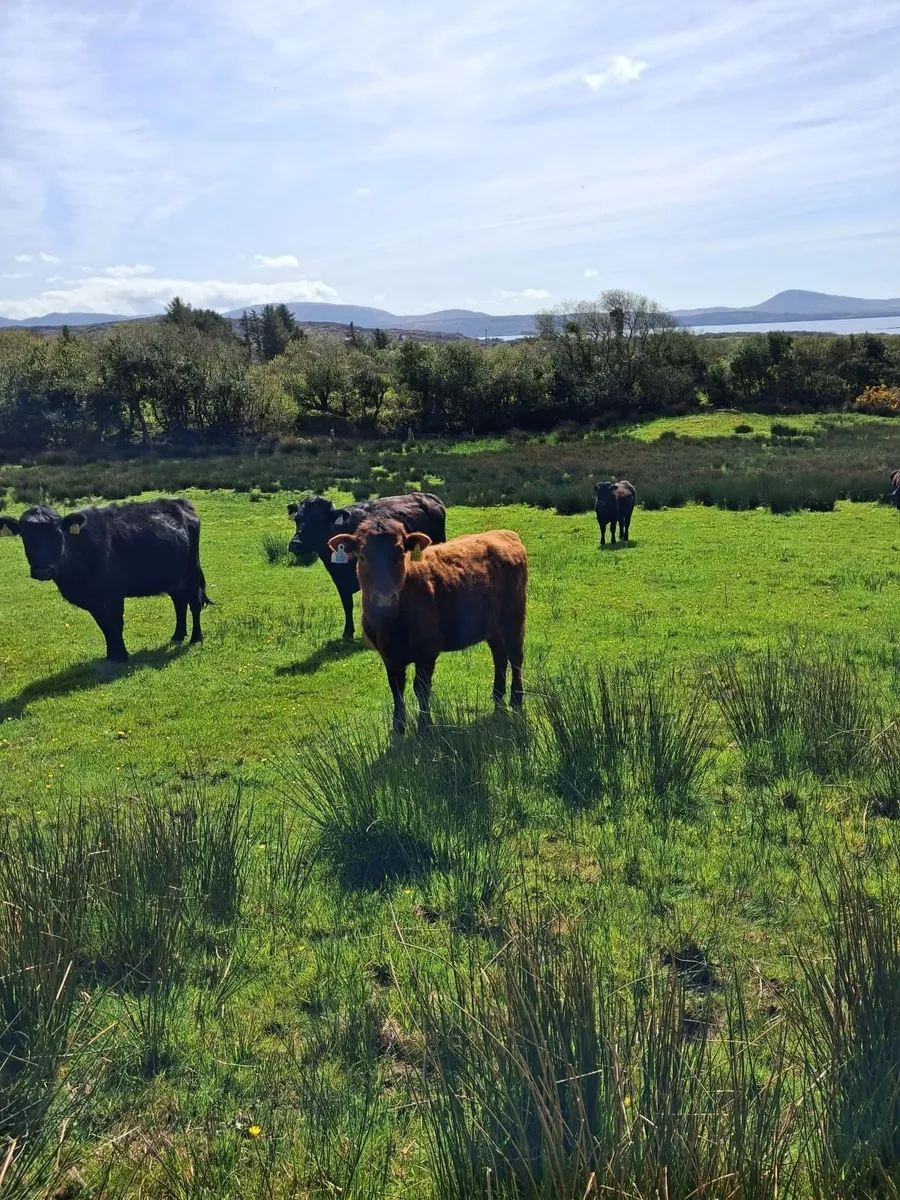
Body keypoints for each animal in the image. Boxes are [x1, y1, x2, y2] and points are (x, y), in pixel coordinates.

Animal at [0, 499, 211, 662]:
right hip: (175, 578)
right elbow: (105, 626)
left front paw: (122, 655)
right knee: (179, 603)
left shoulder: (113, 595)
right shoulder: (93, 601)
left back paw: (195, 637)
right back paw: (177, 636)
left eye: (57, 533)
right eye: (26, 536)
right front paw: (112, 655)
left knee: (194, 603)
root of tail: (180, 503)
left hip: (191, 574)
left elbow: (115, 623)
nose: (43, 571)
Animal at [286, 492, 446, 641]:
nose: (295, 544)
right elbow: (347, 604)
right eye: (298, 519)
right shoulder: (340, 580)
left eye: (318, 520)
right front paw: (348, 632)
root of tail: (428, 497)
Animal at [327, 519, 527, 735]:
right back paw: (497, 697)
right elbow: (396, 688)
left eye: (400, 555)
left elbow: (421, 688)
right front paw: (398, 727)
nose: (384, 597)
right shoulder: (389, 656)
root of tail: (504, 534)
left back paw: (516, 699)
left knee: (515, 656)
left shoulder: (427, 650)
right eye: (363, 557)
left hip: (513, 618)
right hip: (493, 625)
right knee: (499, 656)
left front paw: (424, 726)